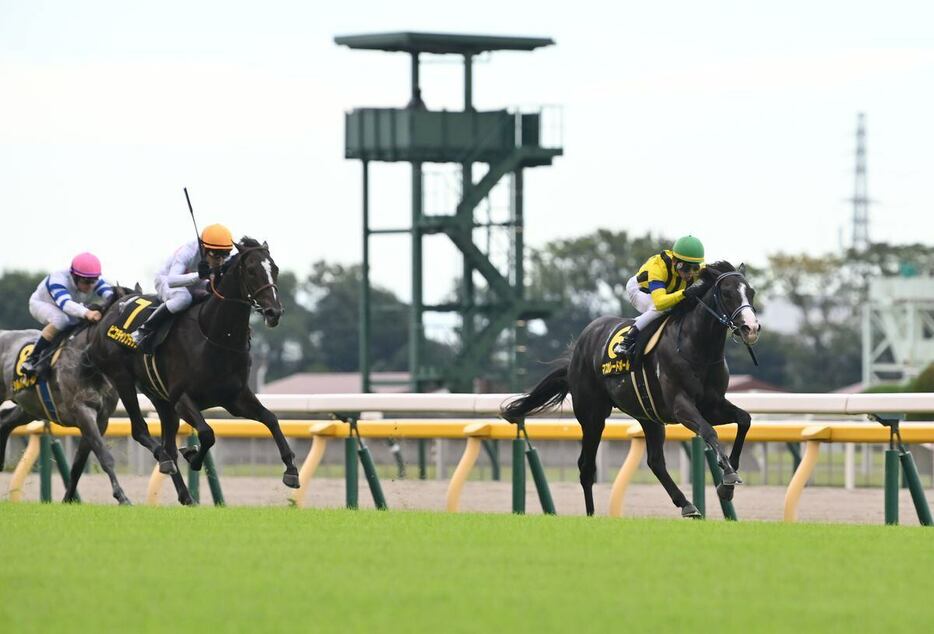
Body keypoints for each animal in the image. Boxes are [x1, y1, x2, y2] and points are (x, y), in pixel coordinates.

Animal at [0, 284, 136, 502]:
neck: (89, 362)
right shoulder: (83, 412)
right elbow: (105, 456)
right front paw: (122, 497)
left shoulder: (101, 419)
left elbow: (78, 465)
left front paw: (68, 500)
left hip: (29, 407)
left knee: (5, 421)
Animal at [85, 237, 296, 504]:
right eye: (251, 270)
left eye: (275, 269)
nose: (273, 312)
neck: (216, 336)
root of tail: (113, 308)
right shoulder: (182, 398)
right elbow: (207, 433)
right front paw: (193, 456)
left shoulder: (235, 398)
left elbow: (271, 419)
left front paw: (291, 470)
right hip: (122, 379)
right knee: (142, 431)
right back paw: (165, 460)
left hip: (159, 397)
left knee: (168, 445)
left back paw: (185, 494)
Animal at [504, 260, 760, 512]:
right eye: (727, 293)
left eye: (751, 292)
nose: (751, 328)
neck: (696, 347)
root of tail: (578, 350)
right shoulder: (681, 405)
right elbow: (709, 431)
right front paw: (728, 477)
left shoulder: (712, 405)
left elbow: (744, 419)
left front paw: (728, 479)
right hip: (592, 415)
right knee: (586, 467)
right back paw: (591, 515)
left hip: (648, 416)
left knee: (655, 461)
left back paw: (687, 505)